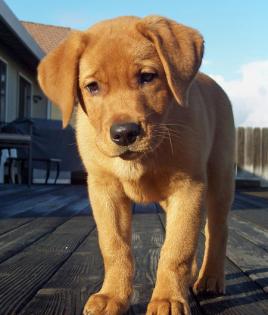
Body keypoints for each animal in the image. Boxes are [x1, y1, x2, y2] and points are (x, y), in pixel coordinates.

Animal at [37, 15, 234, 315]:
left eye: (147, 77)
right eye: (92, 87)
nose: (124, 133)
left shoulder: (189, 188)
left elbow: (176, 248)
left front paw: (167, 299)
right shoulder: (105, 190)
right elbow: (115, 247)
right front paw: (112, 296)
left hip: (220, 180)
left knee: (217, 230)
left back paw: (210, 277)